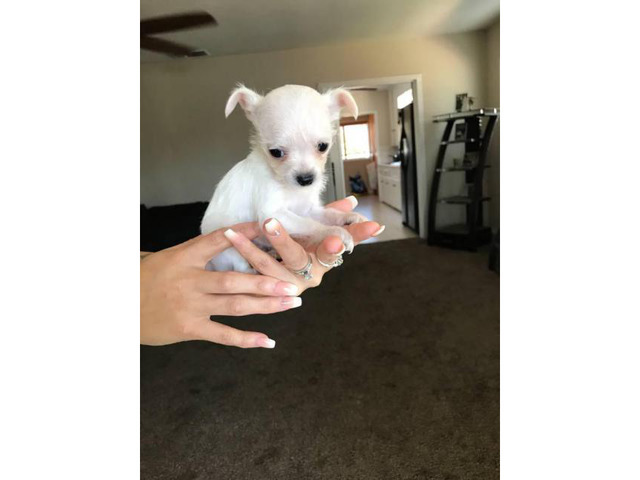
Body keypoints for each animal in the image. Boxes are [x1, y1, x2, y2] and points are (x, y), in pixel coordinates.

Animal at [200, 82, 370, 270]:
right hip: (229, 244)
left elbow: (328, 214)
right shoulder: (273, 214)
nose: (305, 179)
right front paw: (333, 232)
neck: (291, 189)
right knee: (241, 267)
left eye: (323, 146)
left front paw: (347, 217)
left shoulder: (308, 209)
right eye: (275, 152)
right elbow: (309, 224)